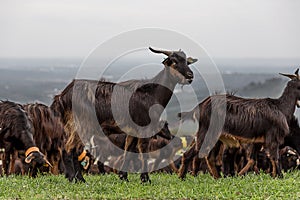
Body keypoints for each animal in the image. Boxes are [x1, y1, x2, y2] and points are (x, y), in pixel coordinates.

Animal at [51, 47, 197, 183]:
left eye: (186, 61)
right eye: (174, 62)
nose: (190, 76)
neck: (152, 94)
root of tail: (63, 96)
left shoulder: (132, 131)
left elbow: (129, 150)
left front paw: (123, 177)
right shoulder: (144, 128)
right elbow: (143, 150)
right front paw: (145, 179)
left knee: (66, 148)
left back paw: (73, 178)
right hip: (82, 125)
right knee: (71, 148)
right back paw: (79, 179)